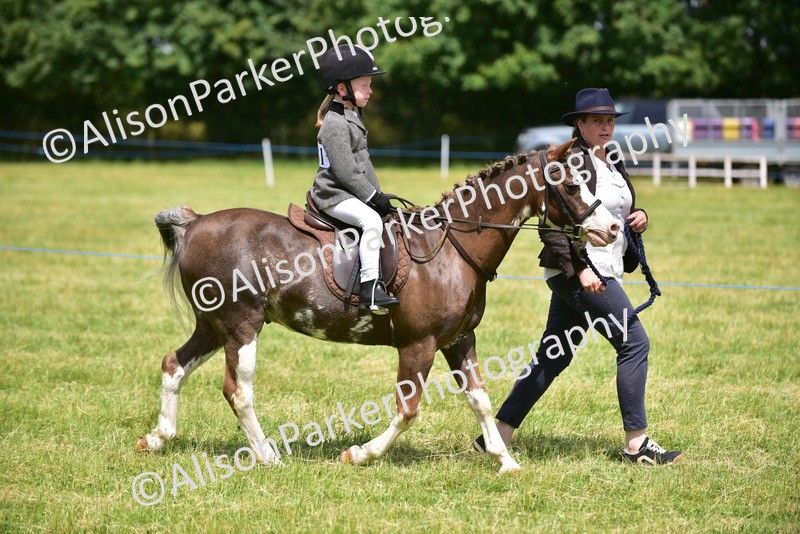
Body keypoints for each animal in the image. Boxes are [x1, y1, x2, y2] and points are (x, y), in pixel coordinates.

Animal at [135, 140, 620, 473]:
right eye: (572, 184)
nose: (613, 228)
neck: (452, 248)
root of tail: (197, 222)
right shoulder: (419, 345)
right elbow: (408, 410)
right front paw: (360, 453)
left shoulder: (459, 340)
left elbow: (481, 400)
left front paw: (507, 463)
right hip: (241, 327)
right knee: (238, 390)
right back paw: (268, 455)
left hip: (213, 326)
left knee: (173, 365)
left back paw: (158, 438)